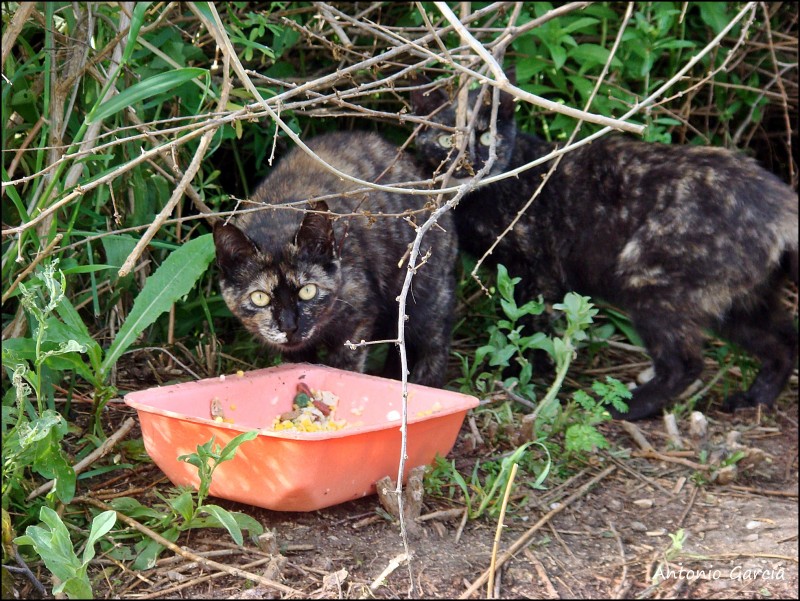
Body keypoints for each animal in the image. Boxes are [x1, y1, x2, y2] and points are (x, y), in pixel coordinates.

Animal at [214, 131, 456, 386]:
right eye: (259, 297)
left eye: (308, 291)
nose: (289, 327)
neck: (276, 220)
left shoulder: (356, 323)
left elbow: (344, 368)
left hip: (424, 300)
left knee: (434, 343)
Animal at [416, 81, 796, 418]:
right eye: (446, 138)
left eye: (485, 136)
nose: (469, 161)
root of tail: (780, 205)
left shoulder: (536, 271)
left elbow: (531, 327)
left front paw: (522, 375)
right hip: (742, 302)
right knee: (783, 342)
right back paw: (753, 400)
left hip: (649, 281)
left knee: (685, 363)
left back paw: (625, 408)